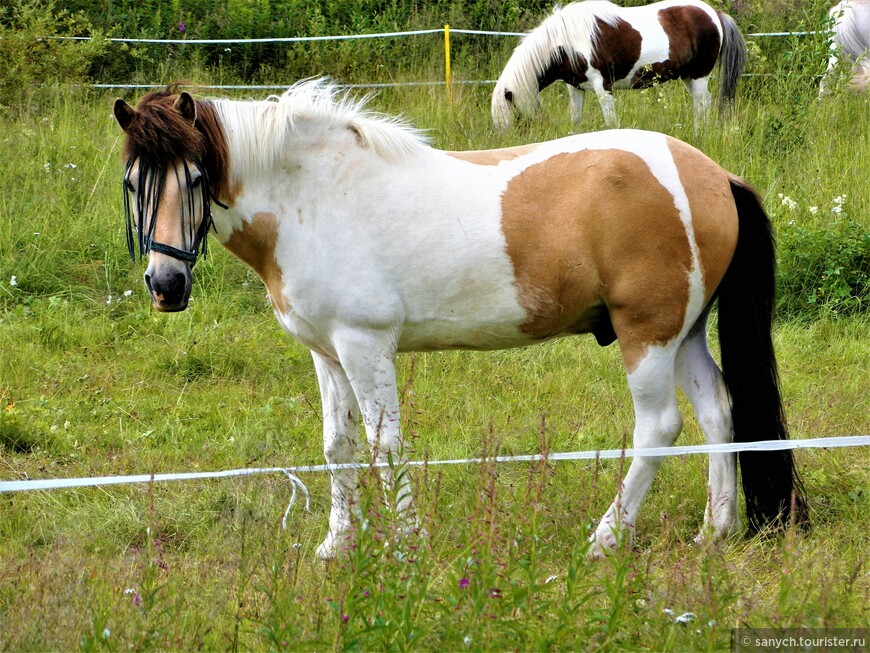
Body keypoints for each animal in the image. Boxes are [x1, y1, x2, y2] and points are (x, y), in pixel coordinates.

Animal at [112, 80, 808, 560]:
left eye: (196, 177)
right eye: (132, 183)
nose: (166, 285)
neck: (315, 195)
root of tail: (713, 175)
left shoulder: (365, 347)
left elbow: (384, 446)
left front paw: (405, 545)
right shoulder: (327, 352)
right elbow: (338, 447)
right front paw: (338, 546)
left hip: (647, 334)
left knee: (659, 427)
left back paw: (606, 538)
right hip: (683, 332)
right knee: (718, 410)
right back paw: (715, 530)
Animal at [490, 0, 748, 130]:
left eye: (513, 116)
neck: (567, 41)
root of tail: (714, 13)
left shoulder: (602, 87)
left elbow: (611, 123)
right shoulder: (575, 88)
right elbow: (576, 121)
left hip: (699, 75)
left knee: (702, 104)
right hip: (688, 76)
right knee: (702, 103)